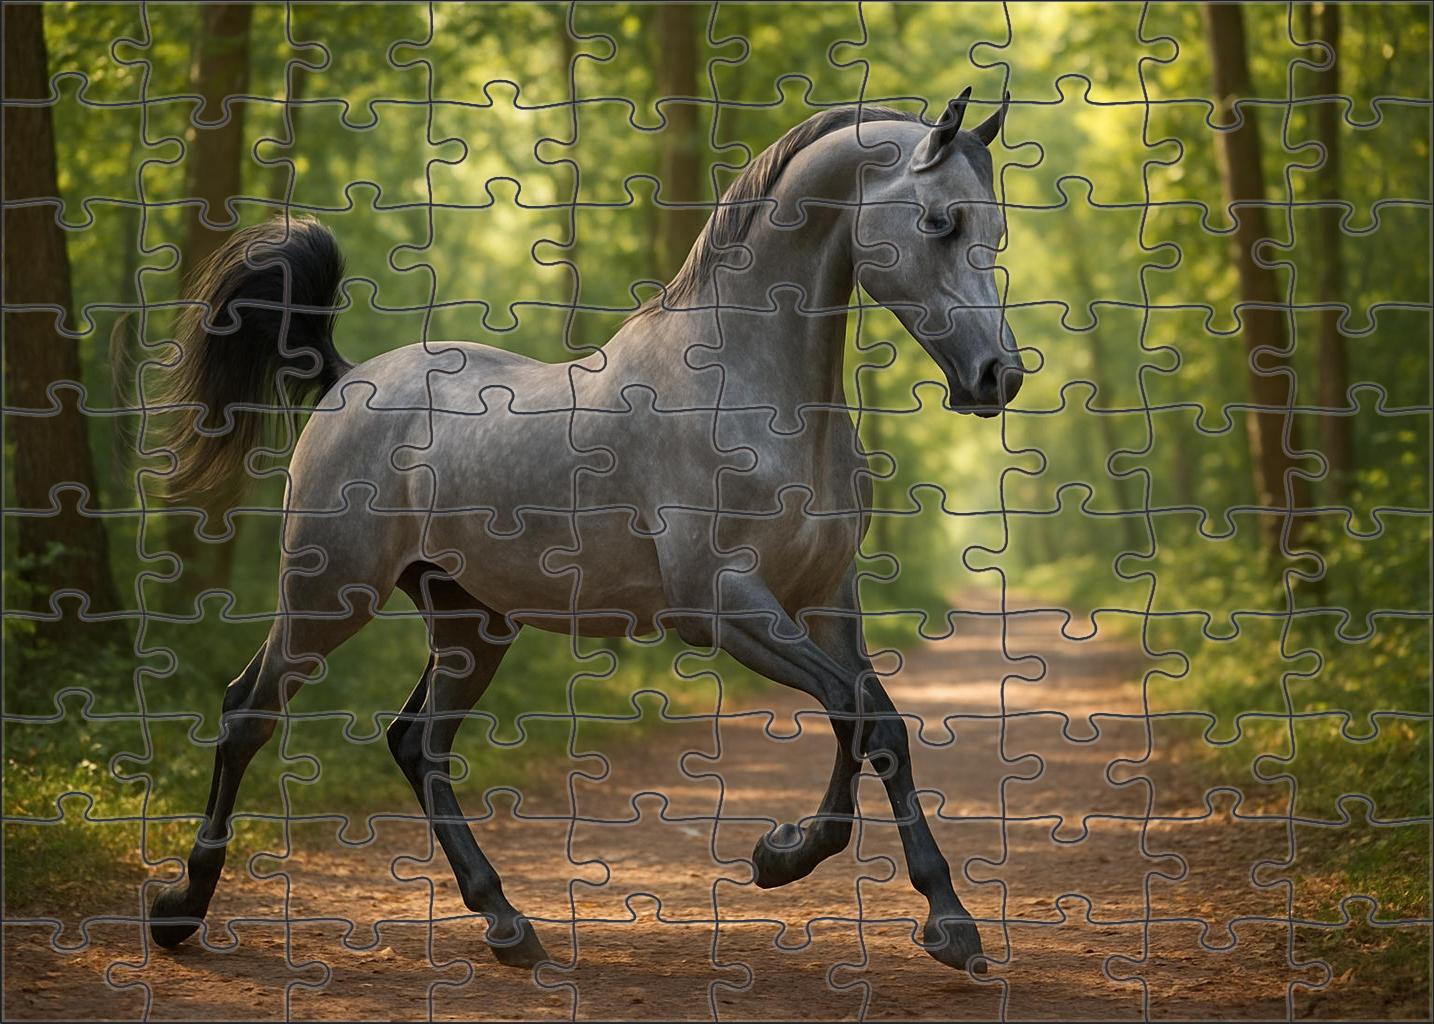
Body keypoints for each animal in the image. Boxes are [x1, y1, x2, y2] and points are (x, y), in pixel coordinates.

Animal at [147, 88, 1024, 975]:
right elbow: (863, 713)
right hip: (328, 593)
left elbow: (869, 718)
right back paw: (180, 910)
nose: (999, 377)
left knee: (416, 744)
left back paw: (507, 923)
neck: (750, 392)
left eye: (996, 232)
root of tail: (347, 379)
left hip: (470, 621)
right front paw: (908, 904)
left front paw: (810, 865)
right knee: (247, 713)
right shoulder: (724, 605)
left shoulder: (824, 598)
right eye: (939, 222)